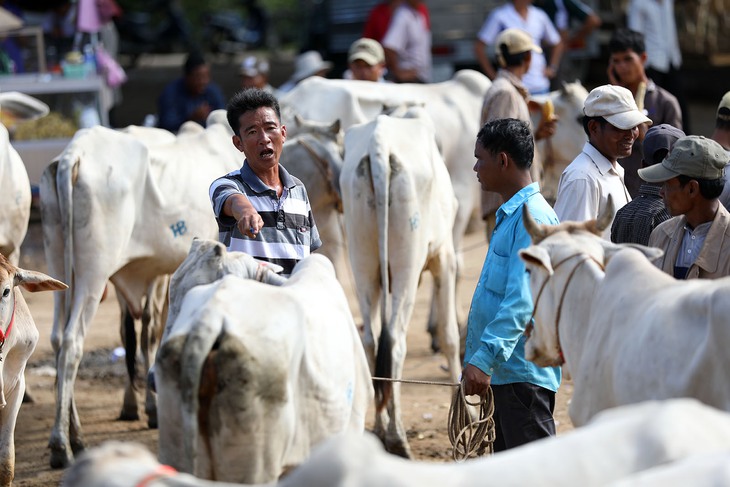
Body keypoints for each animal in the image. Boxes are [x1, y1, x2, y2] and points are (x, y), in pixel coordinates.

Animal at [39, 116, 240, 470]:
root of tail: (73, 154)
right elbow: (154, 332)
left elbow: (144, 332)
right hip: (94, 272)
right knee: (72, 342)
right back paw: (62, 445)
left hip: (59, 266)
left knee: (57, 339)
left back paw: (74, 436)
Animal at [338, 109, 458, 458]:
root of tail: (379, 145)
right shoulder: (444, 257)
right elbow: (450, 335)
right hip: (408, 263)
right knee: (397, 343)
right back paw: (398, 436)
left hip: (363, 264)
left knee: (371, 341)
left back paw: (381, 431)